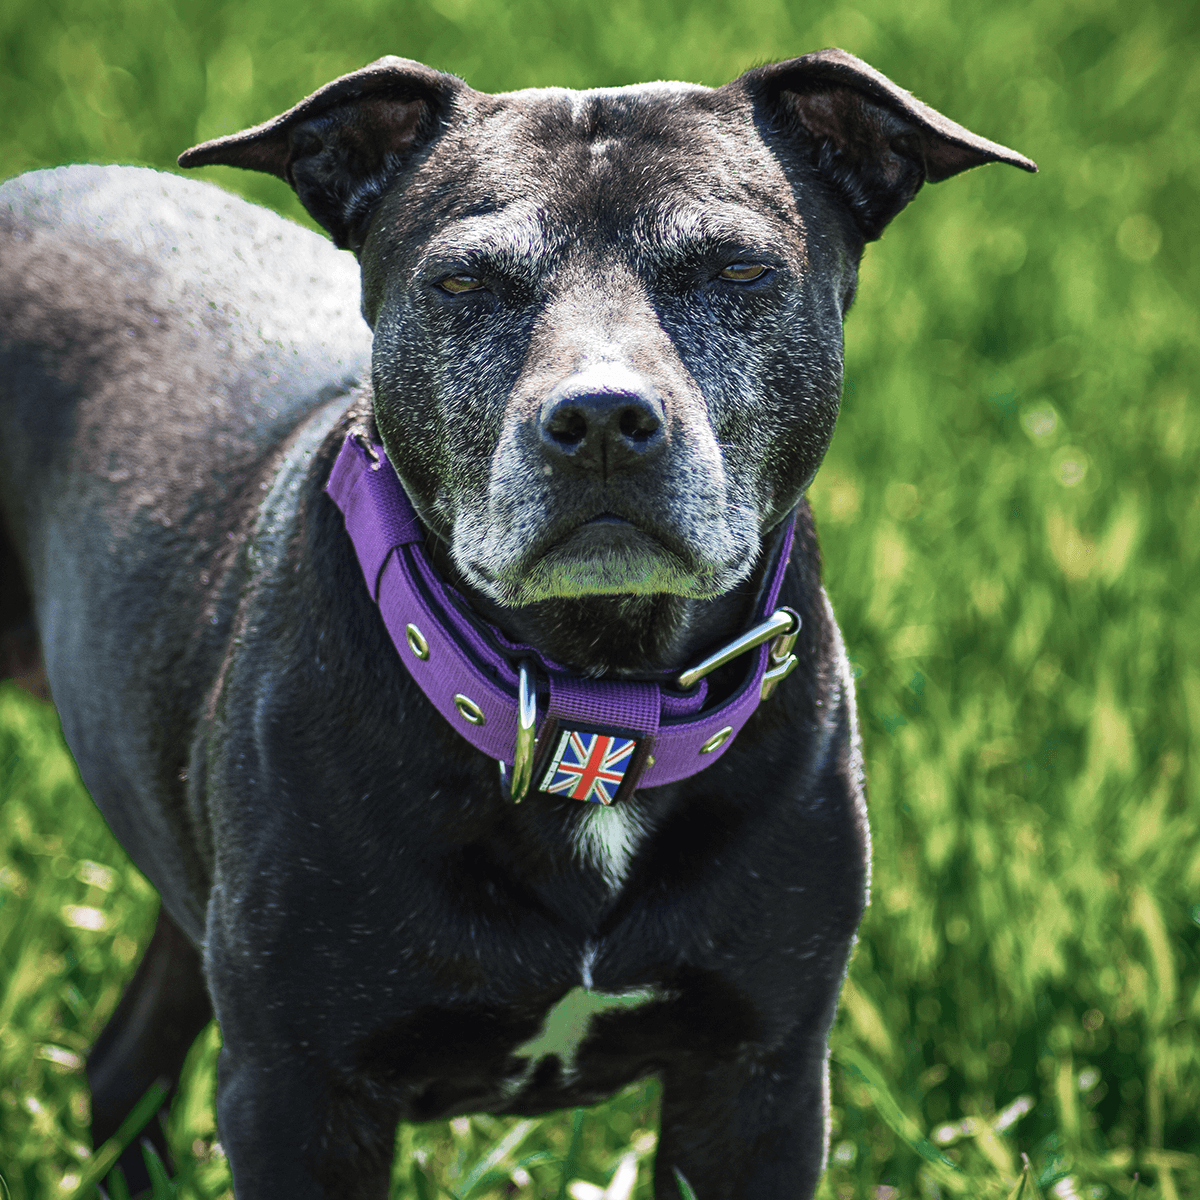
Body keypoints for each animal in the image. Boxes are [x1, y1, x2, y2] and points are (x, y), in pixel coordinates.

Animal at [0, 46, 1032, 1200]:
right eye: (464, 282)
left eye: (736, 269)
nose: (602, 420)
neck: (593, 697)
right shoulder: (297, 1092)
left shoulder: (759, 1077)